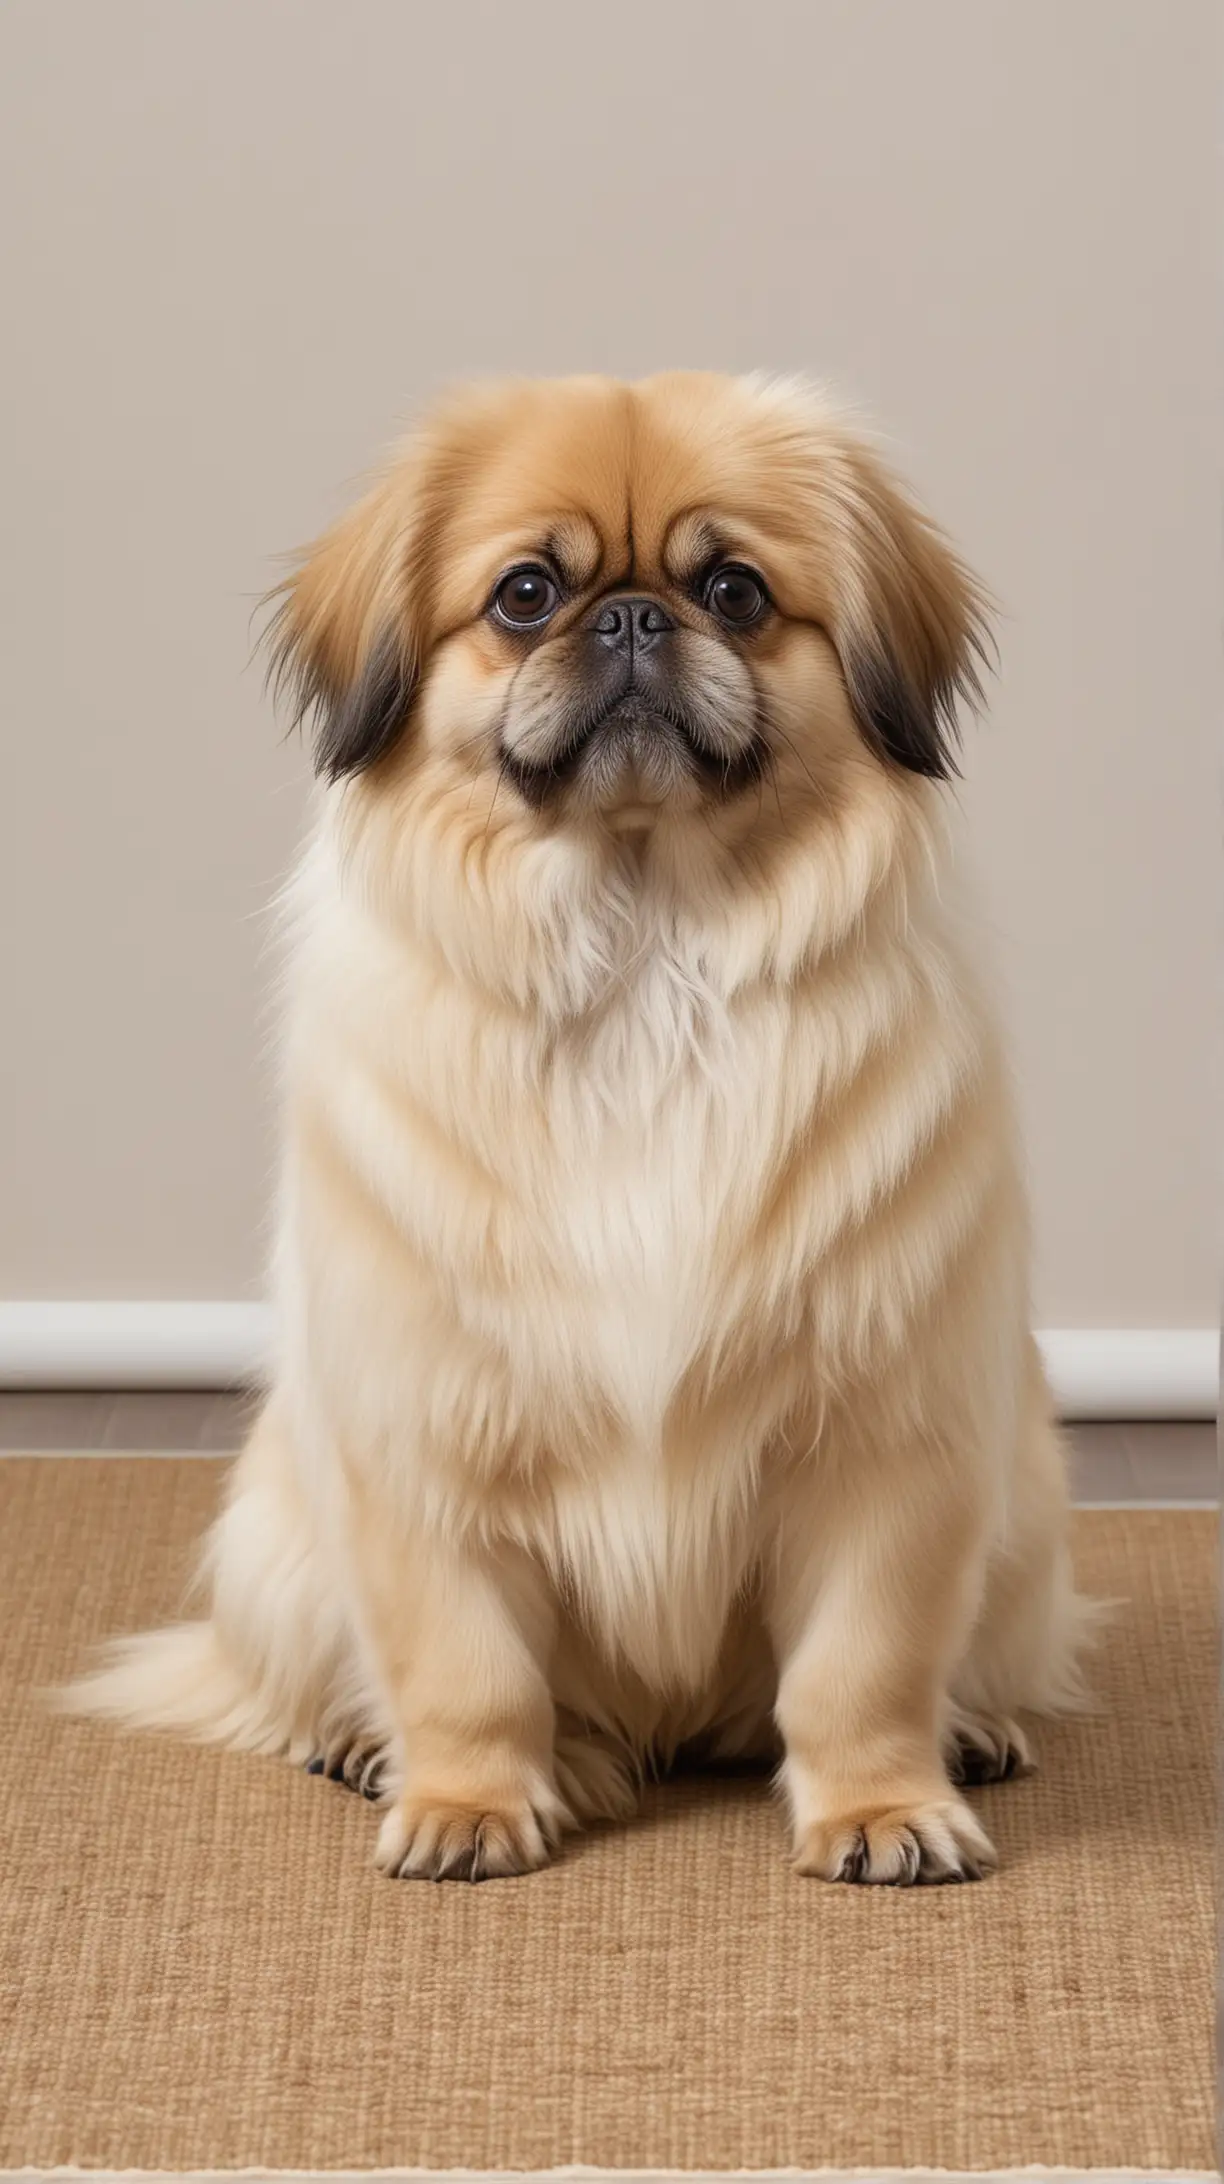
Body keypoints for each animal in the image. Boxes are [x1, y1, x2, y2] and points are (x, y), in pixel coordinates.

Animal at [74, 371, 1088, 1878]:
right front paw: (467, 1806)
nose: (630, 618)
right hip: (277, 1547)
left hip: (1021, 1518)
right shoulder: (426, 1444)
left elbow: (863, 1665)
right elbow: (466, 1664)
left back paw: (971, 1731)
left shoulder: (889, 1449)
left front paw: (882, 1808)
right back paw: (376, 1751)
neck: (644, 952)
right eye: (527, 594)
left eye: (732, 590)